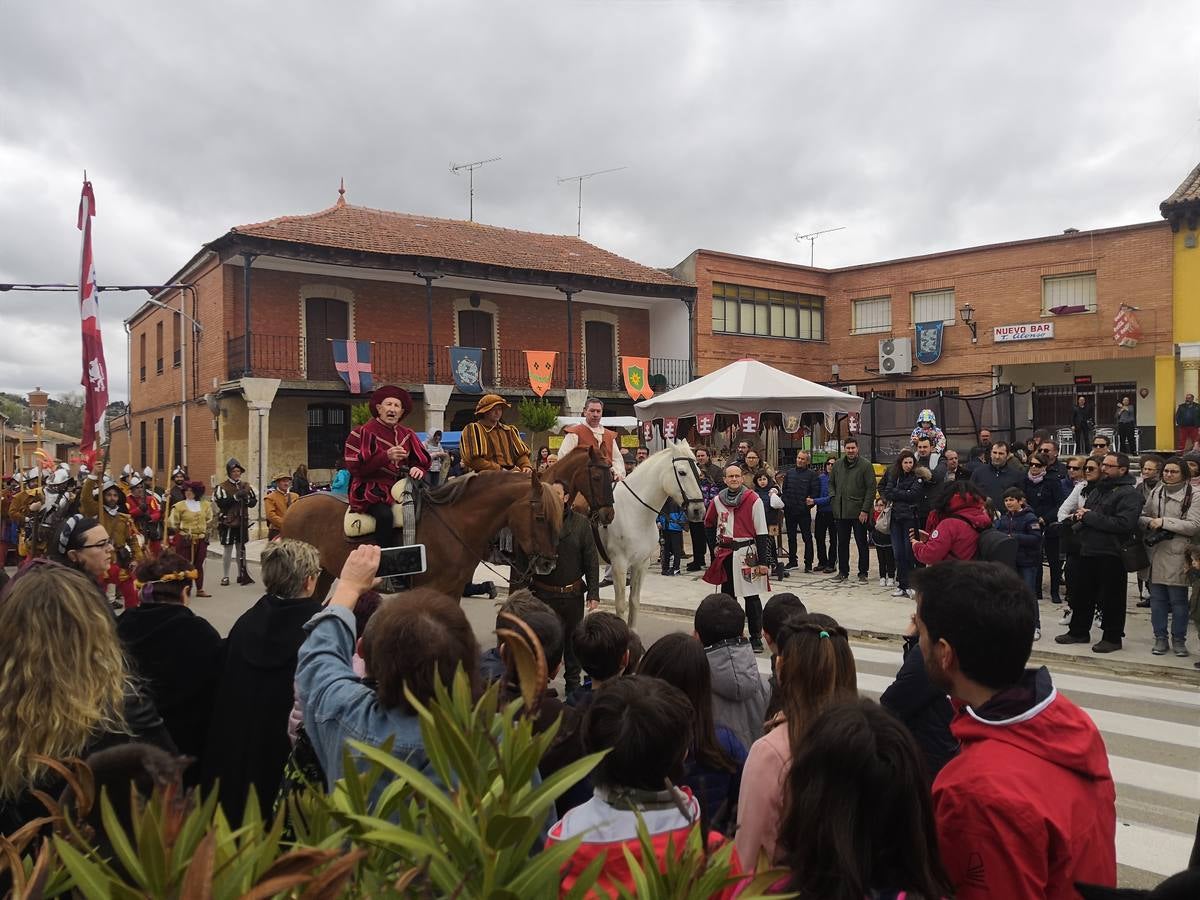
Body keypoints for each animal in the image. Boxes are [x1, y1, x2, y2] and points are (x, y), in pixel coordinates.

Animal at [279, 468, 561, 602]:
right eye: (540, 516)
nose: (548, 564)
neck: (453, 524)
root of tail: (295, 503)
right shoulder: (432, 588)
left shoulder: (452, 590)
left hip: (323, 575)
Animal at [597, 441, 700, 628]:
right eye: (682, 472)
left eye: (699, 471)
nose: (698, 510)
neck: (635, 510)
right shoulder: (619, 564)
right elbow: (621, 605)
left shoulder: (641, 563)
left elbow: (634, 602)